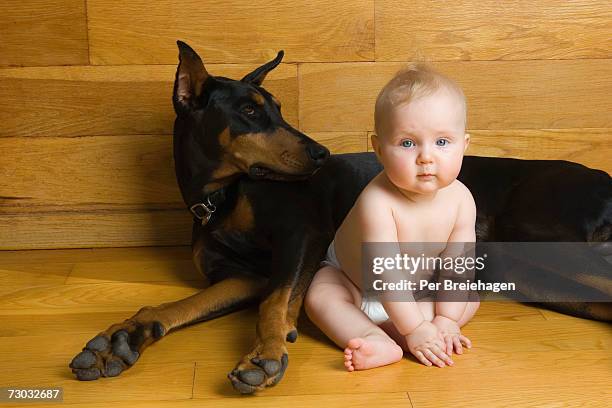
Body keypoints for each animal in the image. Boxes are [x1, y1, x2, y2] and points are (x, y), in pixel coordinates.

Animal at [69, 40, 608, 392]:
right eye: (250, 111)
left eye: (277, 107)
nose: (321, 153)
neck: (221, 198)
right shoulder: (242, 274)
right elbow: (175, 305)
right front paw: (123, 338)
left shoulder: (302, 232)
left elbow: (275, 302)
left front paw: (266, 352)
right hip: (536, 276)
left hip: (542, 244)